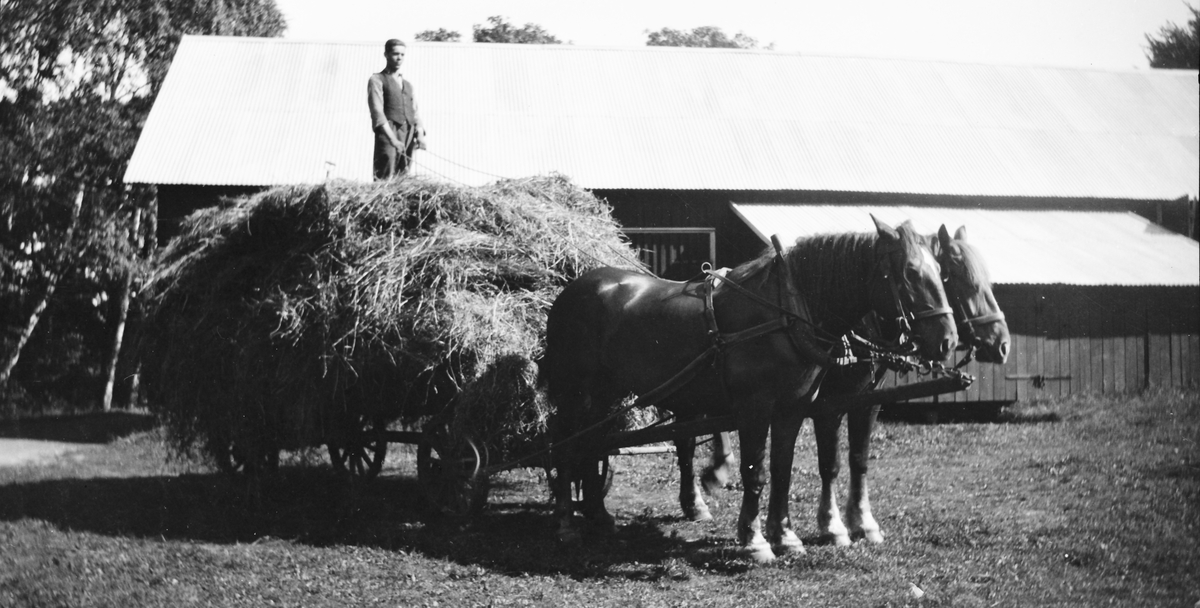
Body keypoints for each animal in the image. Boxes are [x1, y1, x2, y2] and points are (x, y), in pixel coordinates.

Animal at [542, 216, 957, 562]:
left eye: (942, 271)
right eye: (910, 272)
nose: (948, 340)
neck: (787, 311)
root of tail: (572, 290)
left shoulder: (795, 407)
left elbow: (783, 469)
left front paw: (786, 536)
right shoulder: (757, 408)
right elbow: (756, 471)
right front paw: (756, 540)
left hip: (604, 395)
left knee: (593, 446)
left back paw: (598, 516)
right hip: (577, 395)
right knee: (565, 446)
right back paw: (565, 524)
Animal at [679, 224, 1010, 548]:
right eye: (958, 276)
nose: (1002, 343)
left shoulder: (866, 401)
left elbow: (858, 459)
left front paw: (863, 522)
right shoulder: (829, 406)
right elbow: (830, 464)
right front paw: (832, 525)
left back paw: (702, 489)